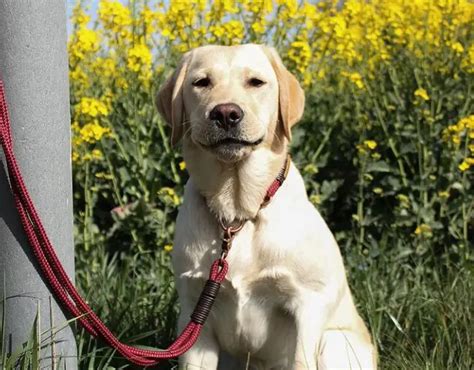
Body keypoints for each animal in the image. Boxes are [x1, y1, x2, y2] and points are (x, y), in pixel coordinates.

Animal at [157, 44, 376, 368]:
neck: (237, 213)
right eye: (201, 82)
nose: (226, 113)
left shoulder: (308, 303)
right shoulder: (195, 316)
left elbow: (300, 360)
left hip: (334, 342)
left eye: (256, 82)